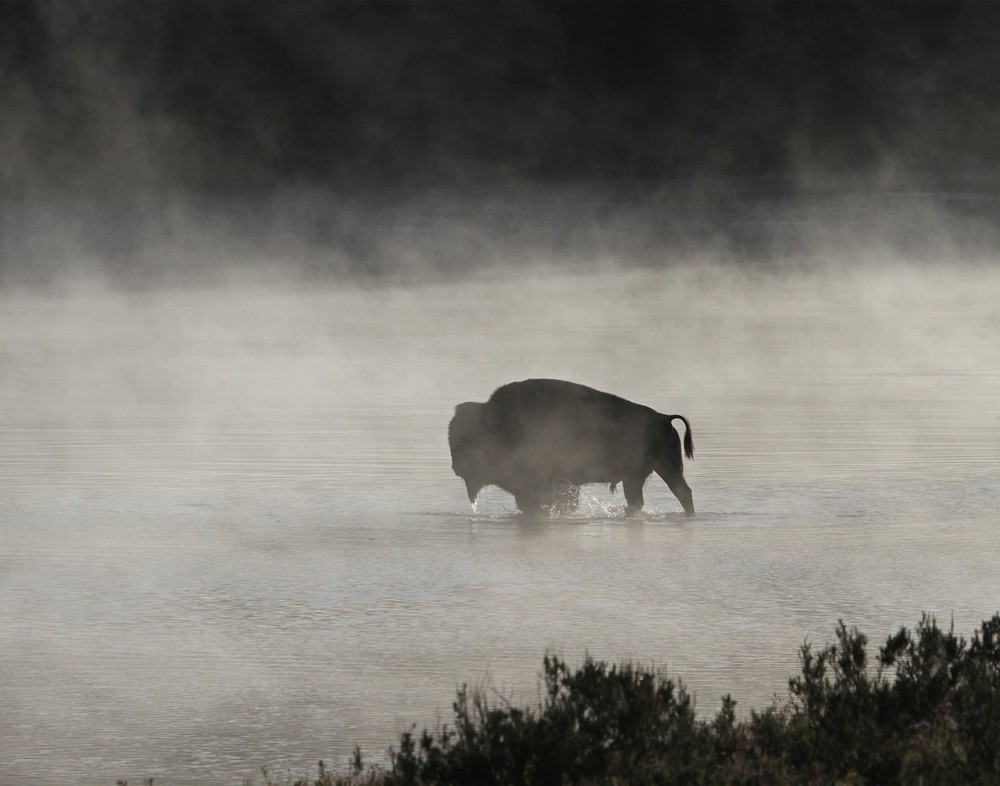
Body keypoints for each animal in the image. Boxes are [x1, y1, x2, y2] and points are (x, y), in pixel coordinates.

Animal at [448, 379, 694, 516]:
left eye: (467, 440)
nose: (456, 468)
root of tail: (664, 419)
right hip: (648, 474)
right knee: (669, 496)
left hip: (657, 471)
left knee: (677, 494)